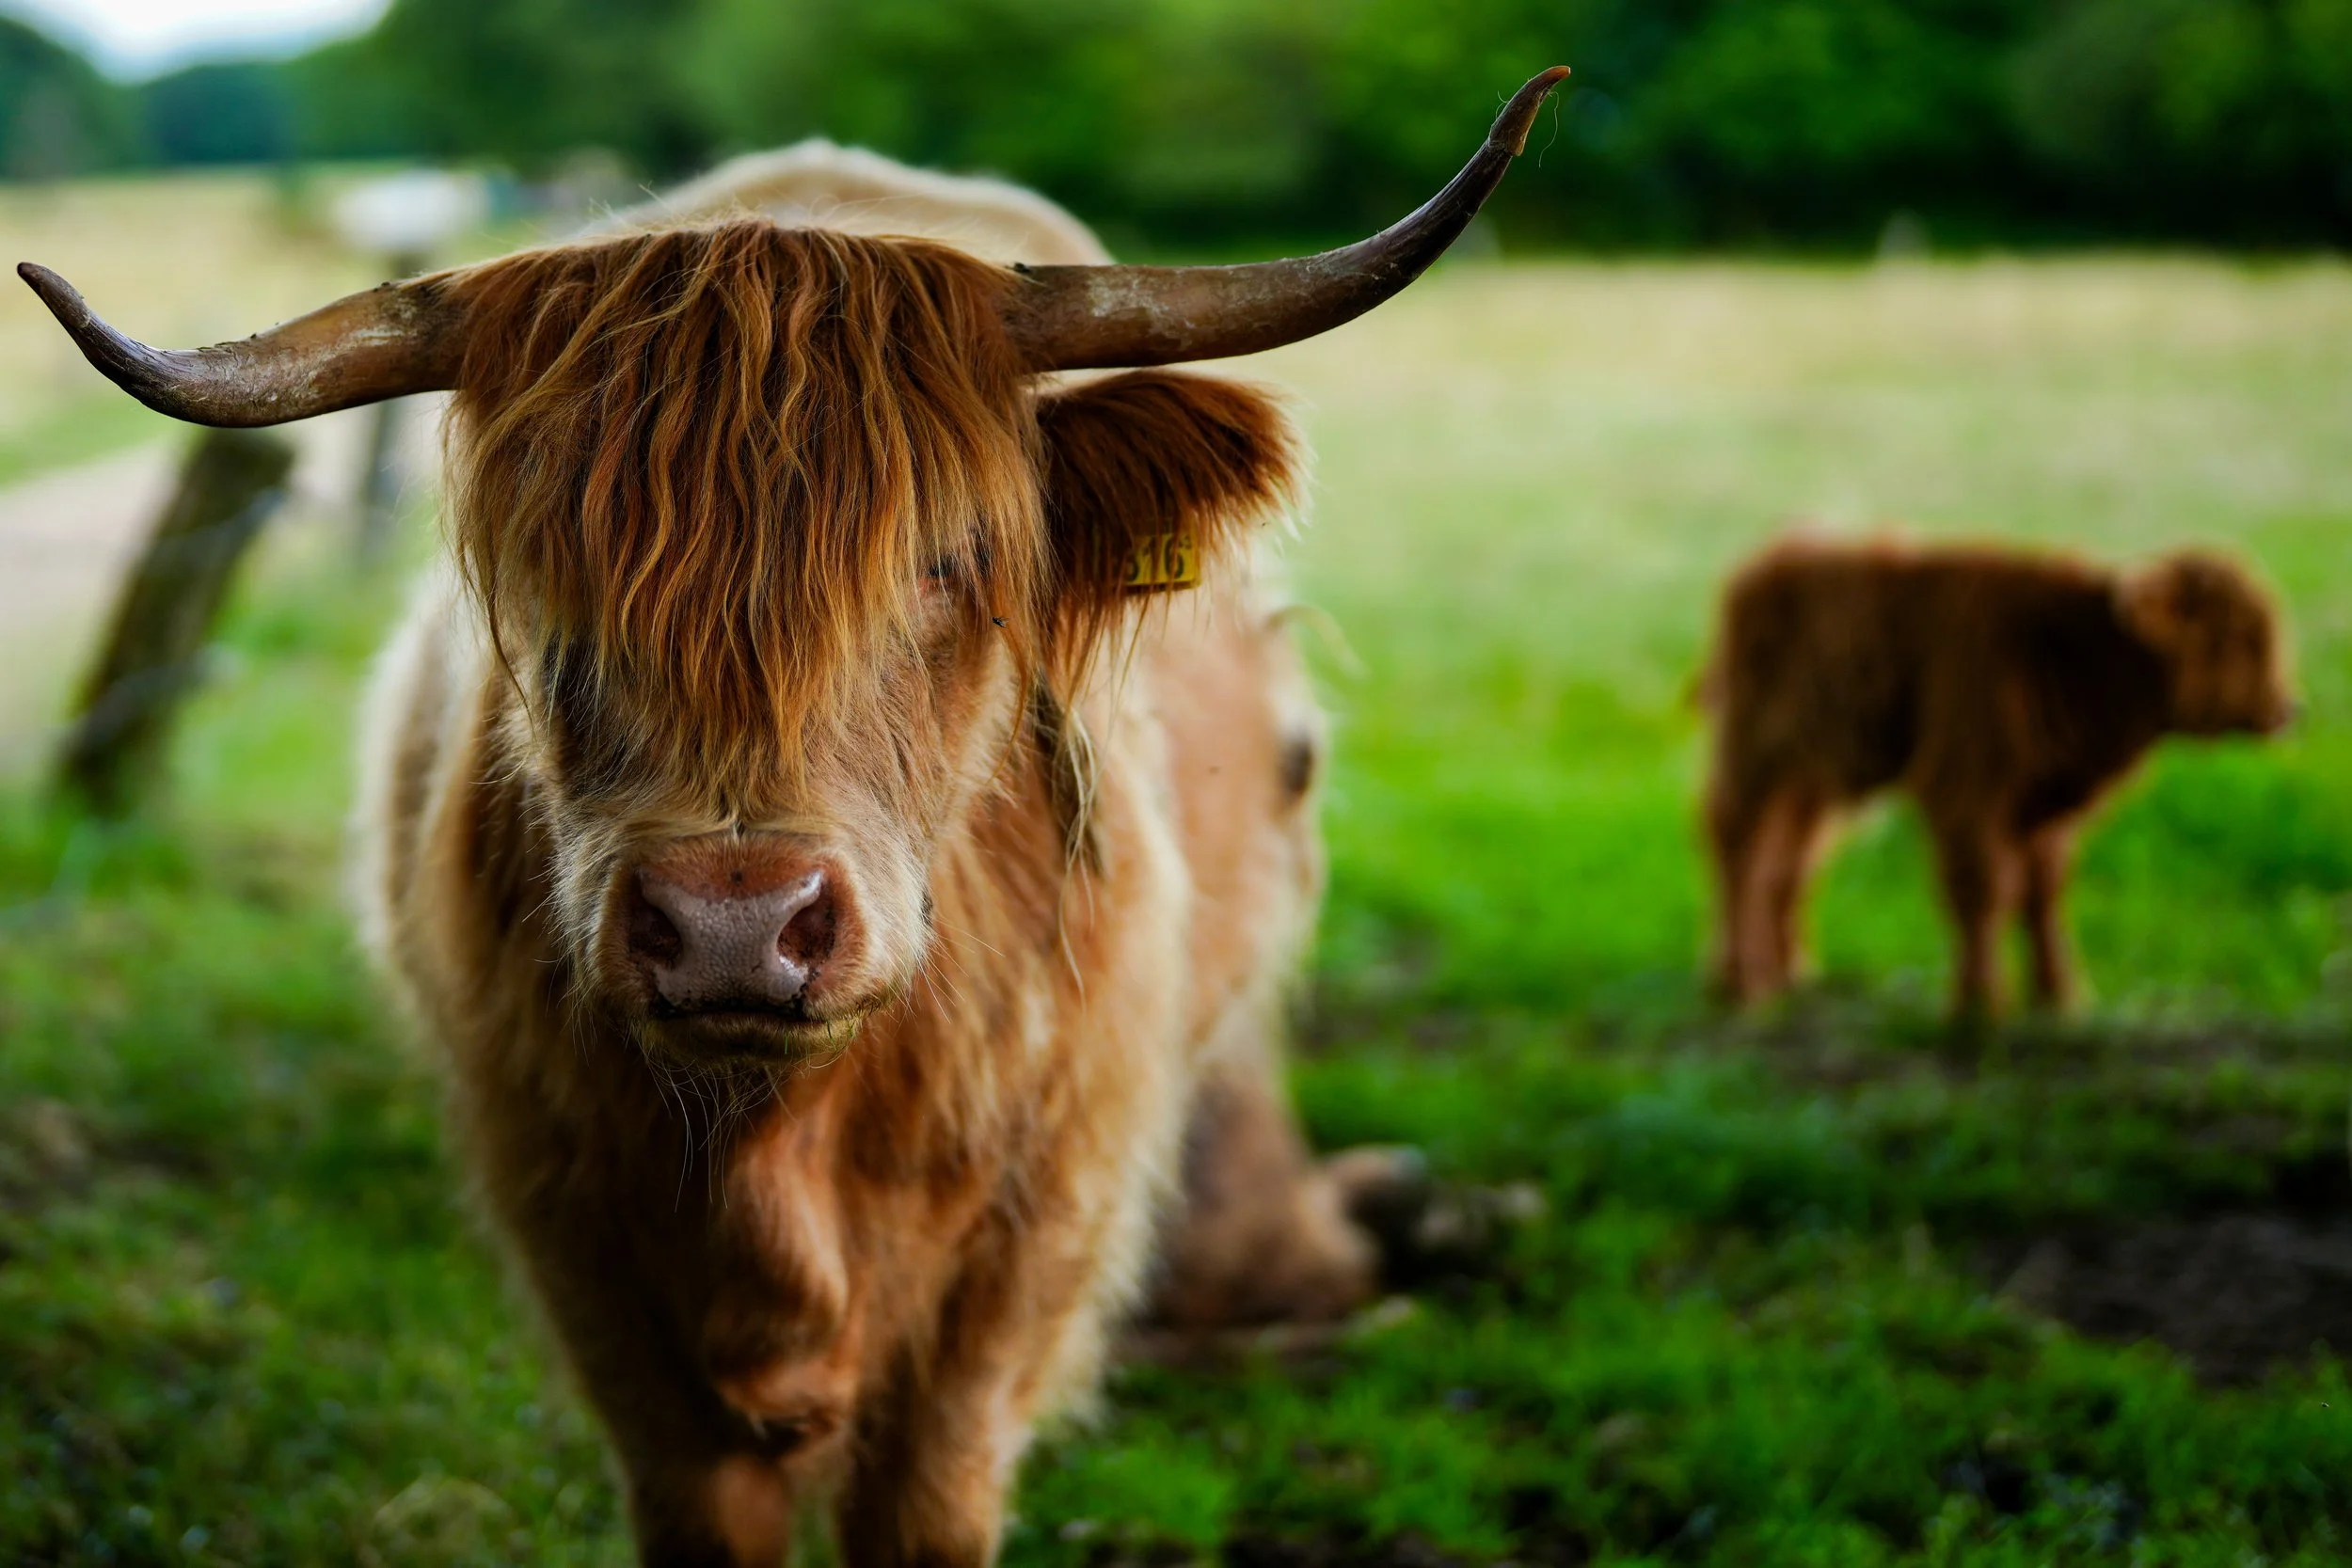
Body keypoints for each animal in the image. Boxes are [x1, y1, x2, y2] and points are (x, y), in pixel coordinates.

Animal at [22, 69, 1569, 1566]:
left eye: (954, 558)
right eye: (545, 579)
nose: (732, 924)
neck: (784, 1145)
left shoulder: (1031, 1238)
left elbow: (928, 1503)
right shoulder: (573, 1228)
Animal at [1699, 532, 2294, 1019]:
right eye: (2238, 637)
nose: (2290, 710)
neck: (2079, 651)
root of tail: (1769, 560)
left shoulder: (2043, 803)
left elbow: (2041, 894)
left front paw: (2060, 997)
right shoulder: (1969, 791)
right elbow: (1984, 892)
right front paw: (1981, 1006)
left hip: (1812, 780)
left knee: (1789, 861)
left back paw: (1789, 972)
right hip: (1755, 758)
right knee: (1741, 851)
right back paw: (1742, 986)